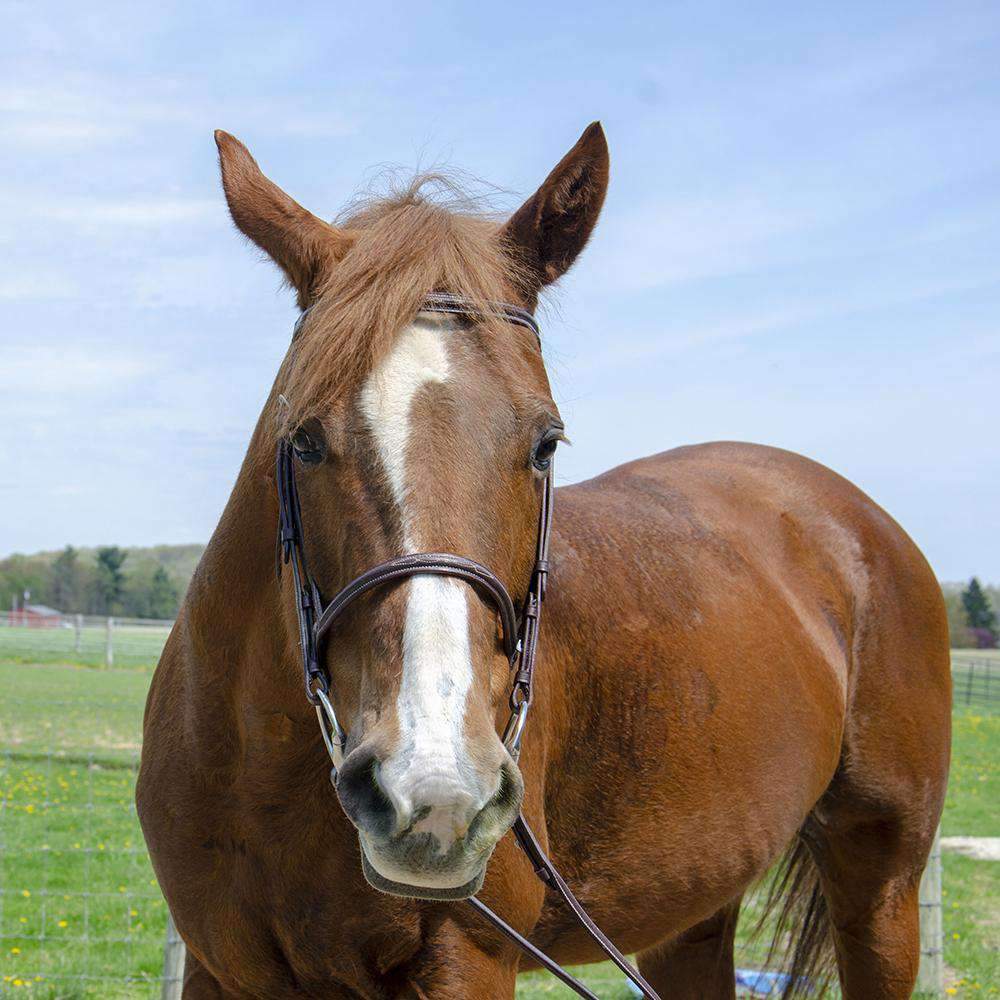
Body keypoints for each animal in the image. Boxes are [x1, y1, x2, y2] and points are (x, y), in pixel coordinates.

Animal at [137, 123, 952, 999]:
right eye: (304, 440)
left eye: (545, 443)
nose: (435, 788)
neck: (267, 771)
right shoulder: (219, 967)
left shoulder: (467, 962)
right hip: (694, 910)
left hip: (882, 887)